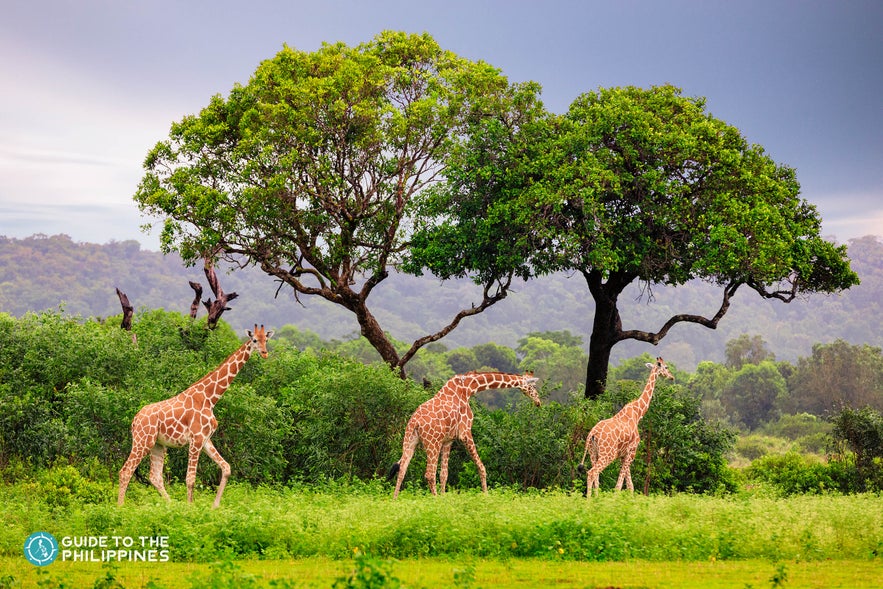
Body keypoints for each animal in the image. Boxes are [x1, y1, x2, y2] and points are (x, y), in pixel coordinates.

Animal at [117, 324, 274, 508]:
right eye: (254, 340)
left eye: (266, 339)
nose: (264, 353)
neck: (210, 398)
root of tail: (135, 420)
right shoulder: (196, 439)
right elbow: (190, 479)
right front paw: (190, 508)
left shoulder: (205, 440)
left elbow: (226, 468)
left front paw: (214, 507)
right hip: (143, 441)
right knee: (126, 471)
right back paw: (119, 507)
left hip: (157, 445)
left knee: (155, 477)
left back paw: (171, 505)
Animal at [388, 371, 541, 499]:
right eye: (533, 386)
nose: (538, 402)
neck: (468, 388)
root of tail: (415, 423)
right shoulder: (465, 432)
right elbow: (481, 467)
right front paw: (486, 496)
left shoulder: (448, 440)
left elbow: (444, 474)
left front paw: (444, 498)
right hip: (432, 443)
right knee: (429, 474)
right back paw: (434, 500)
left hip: (409, 440)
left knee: (402, 469)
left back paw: (395, 500)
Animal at [577, 356, 674, 496]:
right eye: (666, 367)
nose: (672, 377)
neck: (638, 413)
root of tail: (592, 434)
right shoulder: (632, 451)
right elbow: (620, 486)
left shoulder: (623, 455)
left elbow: (630, 486)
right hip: (608, 454)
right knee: (592, 472)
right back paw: (590, 500)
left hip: (592, 453)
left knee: (596, 476)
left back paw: (595, 498)